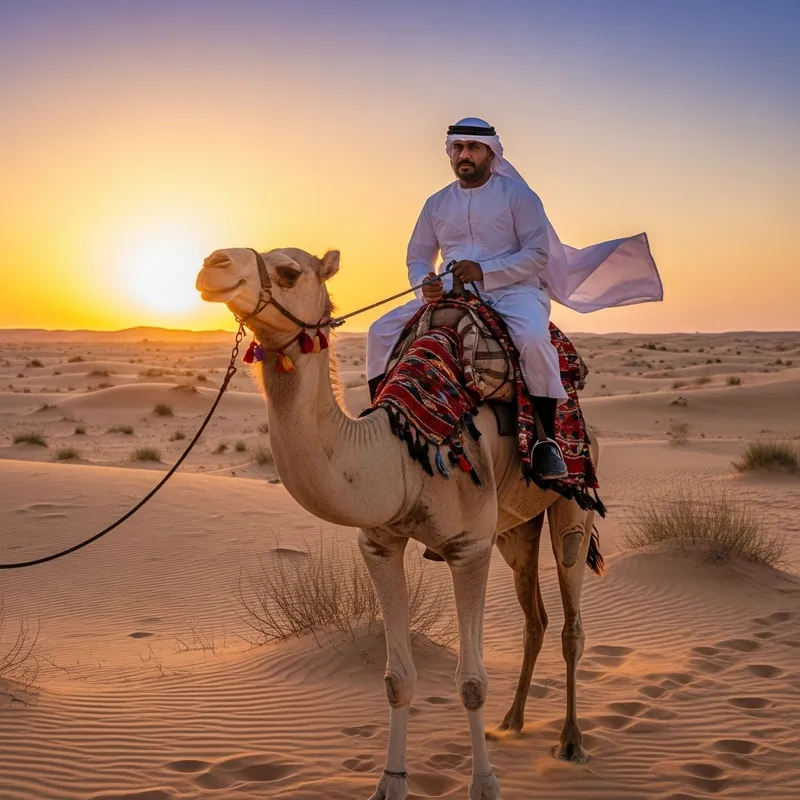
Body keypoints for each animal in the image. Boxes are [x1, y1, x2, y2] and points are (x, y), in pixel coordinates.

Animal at [196, 247, 601, 800]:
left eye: (289, 271)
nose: (212, 264)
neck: (403, 450)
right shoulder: (380, 545)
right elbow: (396, 679)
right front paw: (389, 783)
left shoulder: (467, 547)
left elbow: (471, 682)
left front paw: (485, 785)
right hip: (514, 530)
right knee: (534, 620)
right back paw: (513, 721)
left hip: (569, 508)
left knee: (570, 620)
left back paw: (572, 741)